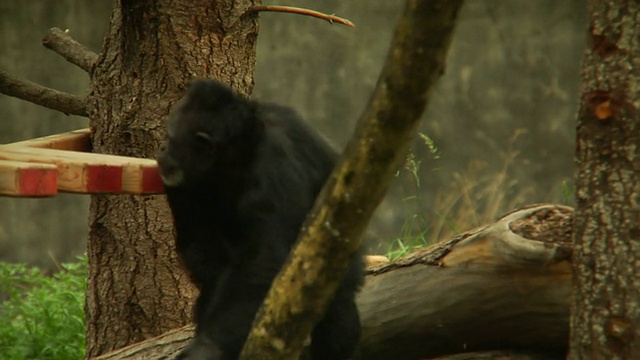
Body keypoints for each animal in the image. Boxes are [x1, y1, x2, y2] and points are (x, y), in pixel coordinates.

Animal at [158, 80, 362, 358]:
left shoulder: (274, 168)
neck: (238, 151)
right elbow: (201, 245)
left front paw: (207, 347)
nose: (162, 149)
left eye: (170, 137)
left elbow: (265, 256)